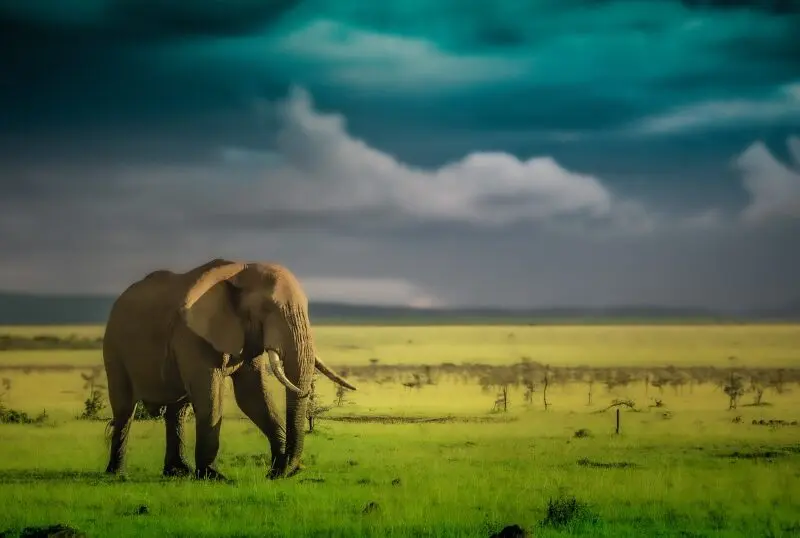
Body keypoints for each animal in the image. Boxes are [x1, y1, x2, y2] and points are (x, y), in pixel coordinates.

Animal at [102, 258, 356, 480]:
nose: (284, 472)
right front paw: (213, 477)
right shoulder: (191, 335)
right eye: (267, 308)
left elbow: (252, 397)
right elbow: (211, 397)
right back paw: (118, 474)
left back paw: (178, 472)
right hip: (113, 347)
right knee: (125, 409)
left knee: (177, 410)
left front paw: (279, 470)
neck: (239, 270)